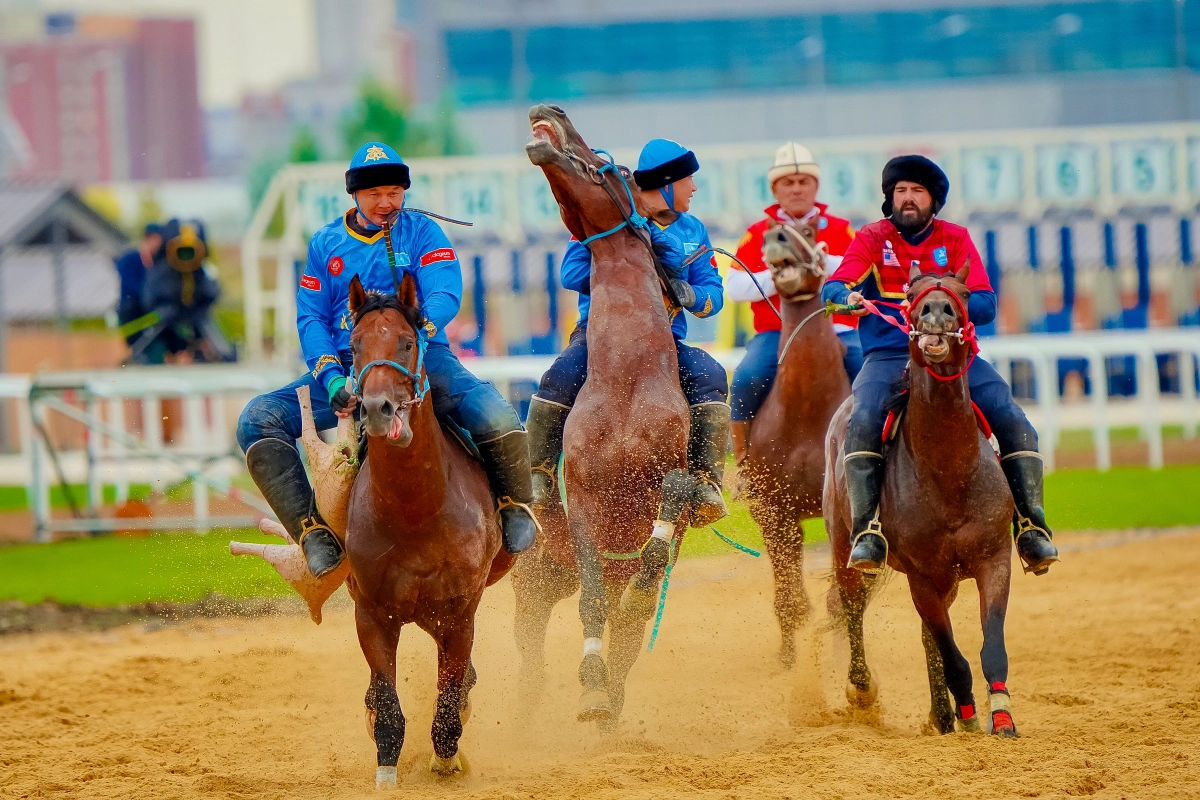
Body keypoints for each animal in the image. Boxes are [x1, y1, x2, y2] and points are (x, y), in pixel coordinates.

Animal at [340, 273, 513, 782]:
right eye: (354, 345)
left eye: (407, 341)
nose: (377, 408)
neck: (415, 511)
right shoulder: (372, 614)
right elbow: (388, 709)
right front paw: (386, 772)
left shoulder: (459, 615)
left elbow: (450, 701)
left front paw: (447, 757)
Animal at [739, 219, 854, 671]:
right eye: (769, 228)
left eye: (809, 228)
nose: (777, 238)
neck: (806, 407)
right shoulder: (774, 512)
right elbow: (789, 600)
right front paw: (790, 657)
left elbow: (839, 599)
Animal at [830, 268, 1017, 738]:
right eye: (911, 294)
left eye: (964, 292)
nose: (936, 311)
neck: (949, 471)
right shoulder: (922, 578)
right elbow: (952, 654)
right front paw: (968, 713)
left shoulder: (994, 560)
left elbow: (990, 647)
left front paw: (1001, 716)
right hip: (844, 550)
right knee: (851, 608)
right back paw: (864, 689)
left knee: (925, 635)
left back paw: (941, 714)